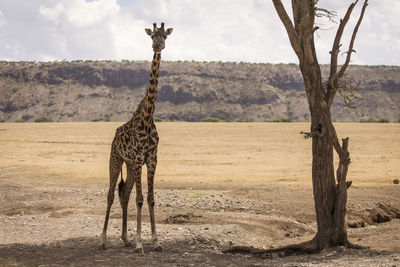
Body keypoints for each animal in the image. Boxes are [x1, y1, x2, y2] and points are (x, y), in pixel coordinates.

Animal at [100, 22, 172, 253]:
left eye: (165, 36)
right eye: (152, 36)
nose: (157, 45)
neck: (148, 117)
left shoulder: (151, 158)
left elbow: (150, 199)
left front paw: (155, 242)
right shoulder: (140, 158)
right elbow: (140, 199)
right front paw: (141, 243)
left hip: (130, 165)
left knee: (124, 194)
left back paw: (125, 239)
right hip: (116, 158)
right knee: (110, 194)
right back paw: (103, 240)